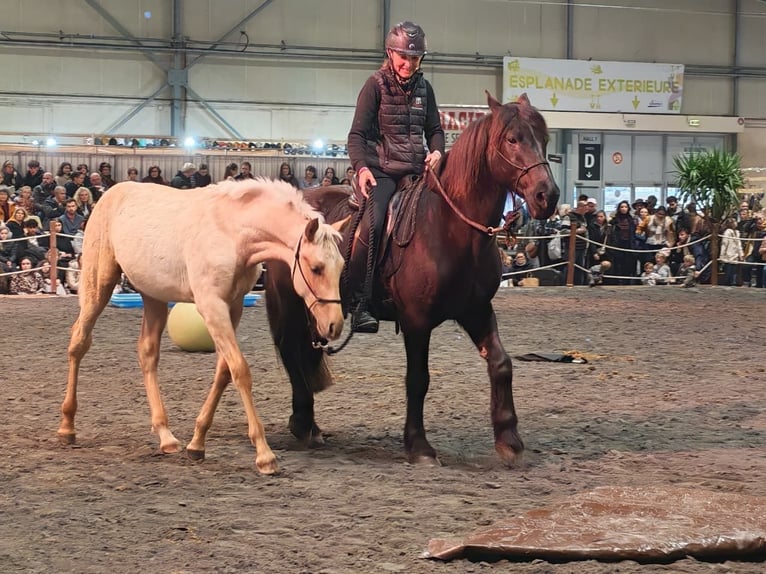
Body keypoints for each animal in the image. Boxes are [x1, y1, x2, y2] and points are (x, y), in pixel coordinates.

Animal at [58, 178, 347, 475]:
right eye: (316, 268)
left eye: (341, 267)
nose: (334, 325)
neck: (231, 231)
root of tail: (110, 194)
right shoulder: (211, 306)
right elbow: (240, 370)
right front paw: (264, 455)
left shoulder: (232, 306)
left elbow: (224, 371)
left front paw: (197, 443)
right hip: (99, 284)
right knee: (79, 341)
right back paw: (67, 427)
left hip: (153, 297)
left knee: (147, 353)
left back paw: (166, 436)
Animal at [265, 92, 560, 467]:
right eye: (512, 139)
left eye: (545, 140)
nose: (547, 196)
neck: (449, 227)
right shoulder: (416, 322)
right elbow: (418, 379)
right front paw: (419, 446)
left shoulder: (476, 310)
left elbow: (501, 363)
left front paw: (509, 439)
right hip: (289, 305)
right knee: (292, 352)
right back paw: (303, 425)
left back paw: (308, 425)